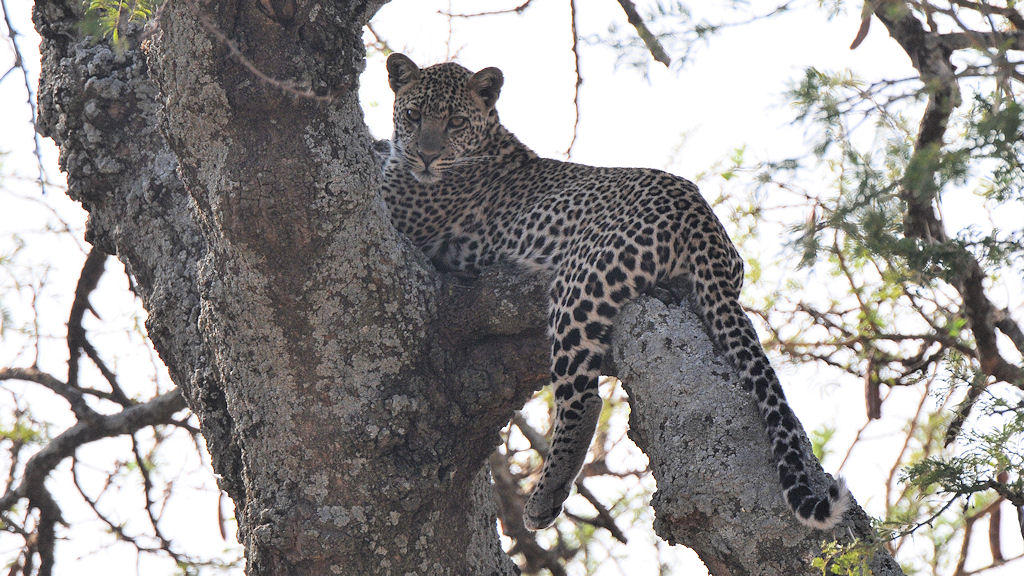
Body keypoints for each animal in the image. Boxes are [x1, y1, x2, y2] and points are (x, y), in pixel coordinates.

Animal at [380, 52, 851, 532]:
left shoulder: (400, 209)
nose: (426, 155)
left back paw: (544, 498)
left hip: (579, 286)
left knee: (582, 400)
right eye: (414, 115)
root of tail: (703, 220)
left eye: (455, 121)